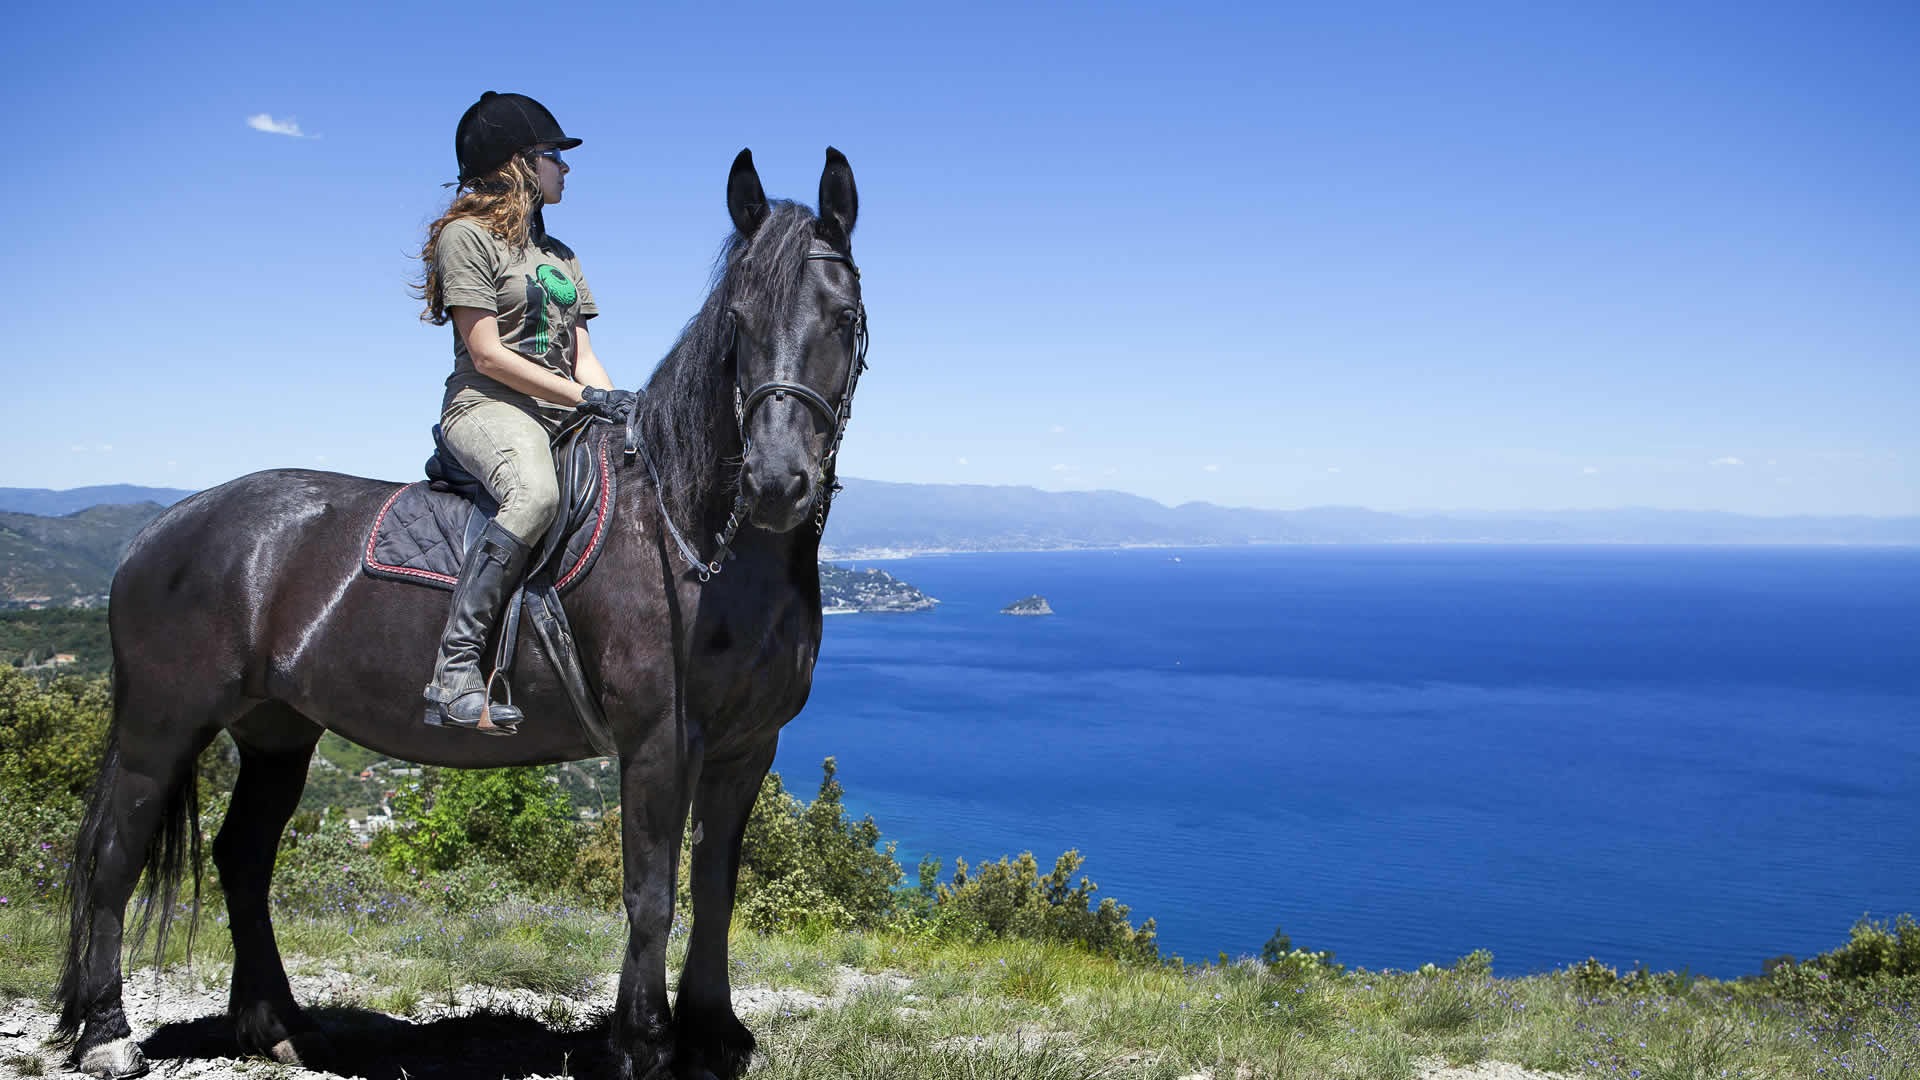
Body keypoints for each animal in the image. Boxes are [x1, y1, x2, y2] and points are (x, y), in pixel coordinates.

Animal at [54, 147, 864, 1080]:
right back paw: (107, 1031)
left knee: (242, 858)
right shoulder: (660, 739)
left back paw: (277, 1024)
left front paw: (713, 1030)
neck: (688, 532)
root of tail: (159, 529)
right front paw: (642, 1045)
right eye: (736, 321)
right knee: (115, 854)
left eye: (843, 316)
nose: (776, 483)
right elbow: (652, 892)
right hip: (162, 724)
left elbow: (716, 887)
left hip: (277, 729)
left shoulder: (745, 747)